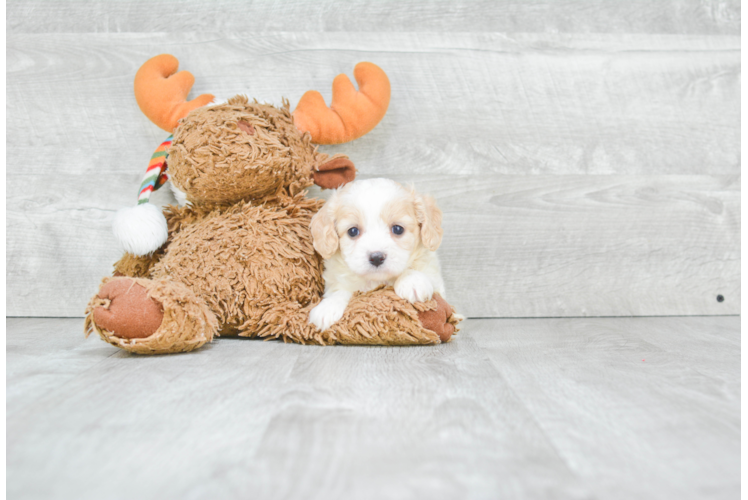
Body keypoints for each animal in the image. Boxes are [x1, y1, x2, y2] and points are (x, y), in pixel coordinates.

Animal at [308, 177, 444, 332]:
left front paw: (412, 281)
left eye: (398, 229)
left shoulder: (437, 283)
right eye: (352, 231)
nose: (377, 258)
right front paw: (328, 307)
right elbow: (340, 291)